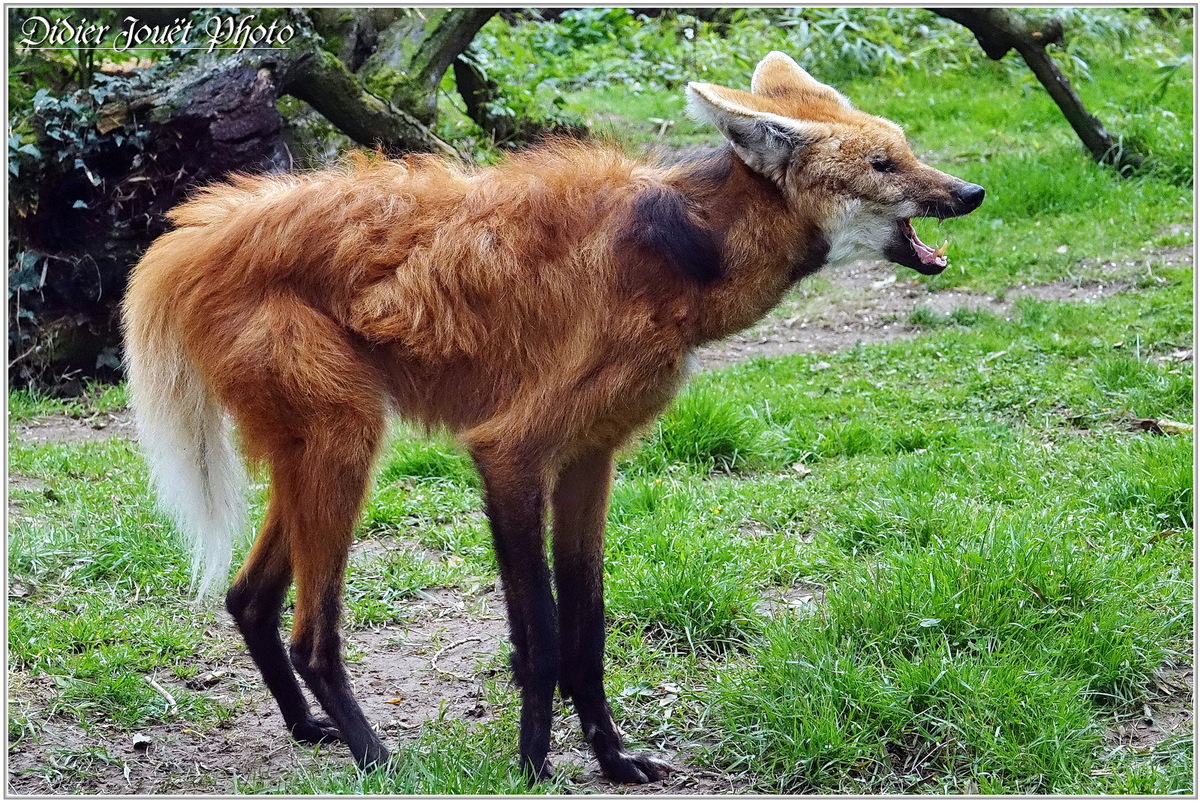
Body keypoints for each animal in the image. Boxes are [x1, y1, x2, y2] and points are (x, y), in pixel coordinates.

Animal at [121, 51, 984, 782]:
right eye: (883, 165)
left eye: (907, 148)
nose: (970, 193)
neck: (683, 255)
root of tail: (196, 231)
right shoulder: (510, 454)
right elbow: (537, 632)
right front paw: (534, 767)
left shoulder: (590, 458)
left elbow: (586, 628)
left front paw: (612, 756)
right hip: (344, 441)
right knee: (312, 633)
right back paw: (377, 757)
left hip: (319, 445)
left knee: (247, 595)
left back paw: (309, 729)